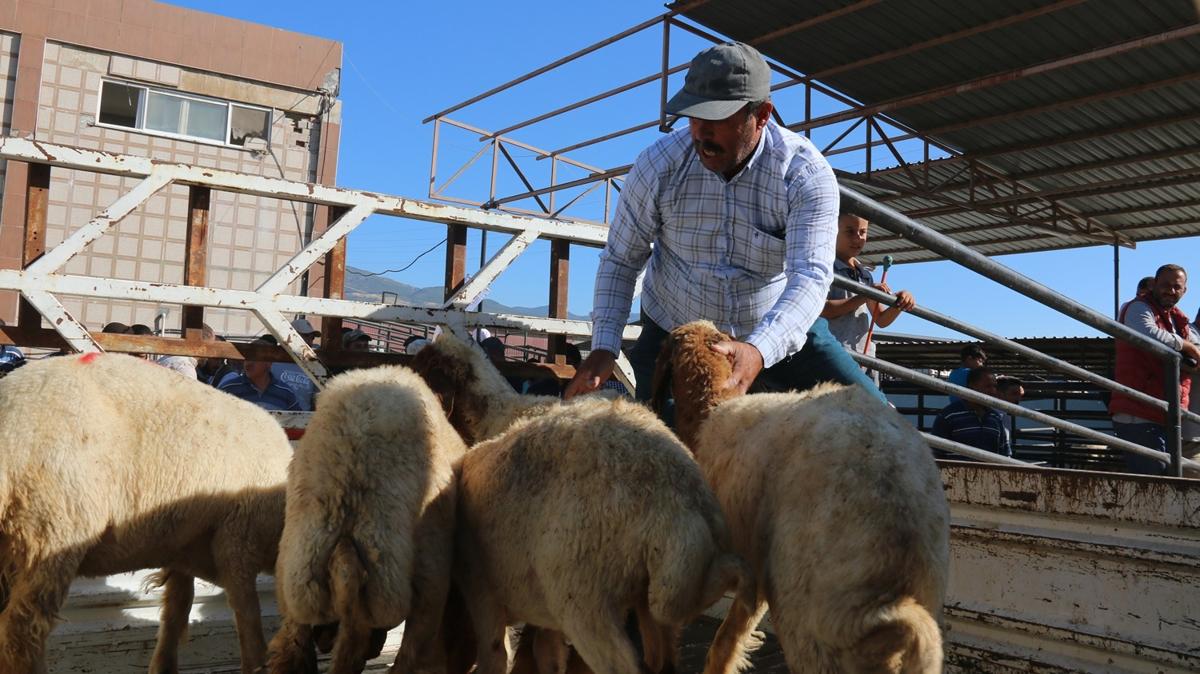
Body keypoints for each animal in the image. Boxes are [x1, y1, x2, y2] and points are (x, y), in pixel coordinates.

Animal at [0, 352, 298, 671]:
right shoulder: (237, 544)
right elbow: (248, 619)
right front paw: (257, 663)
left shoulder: (184, 547)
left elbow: (177, 610)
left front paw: (164, 665)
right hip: (50, 531)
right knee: (22, 634)